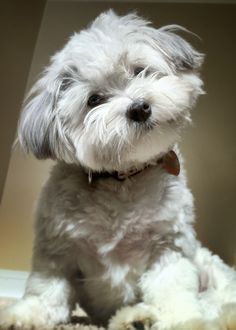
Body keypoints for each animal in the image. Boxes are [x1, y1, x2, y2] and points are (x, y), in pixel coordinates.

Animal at [0, 9, 236, 330]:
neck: (123, 177)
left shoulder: (168, 248)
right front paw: (26, 315)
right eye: (94, 100)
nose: (139, 108)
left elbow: (173, 291)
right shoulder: (58, 253)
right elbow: (47, 291)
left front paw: (183, 321)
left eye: (139, 70)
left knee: (217, 303)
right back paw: (135, 318)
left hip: (210, 268)